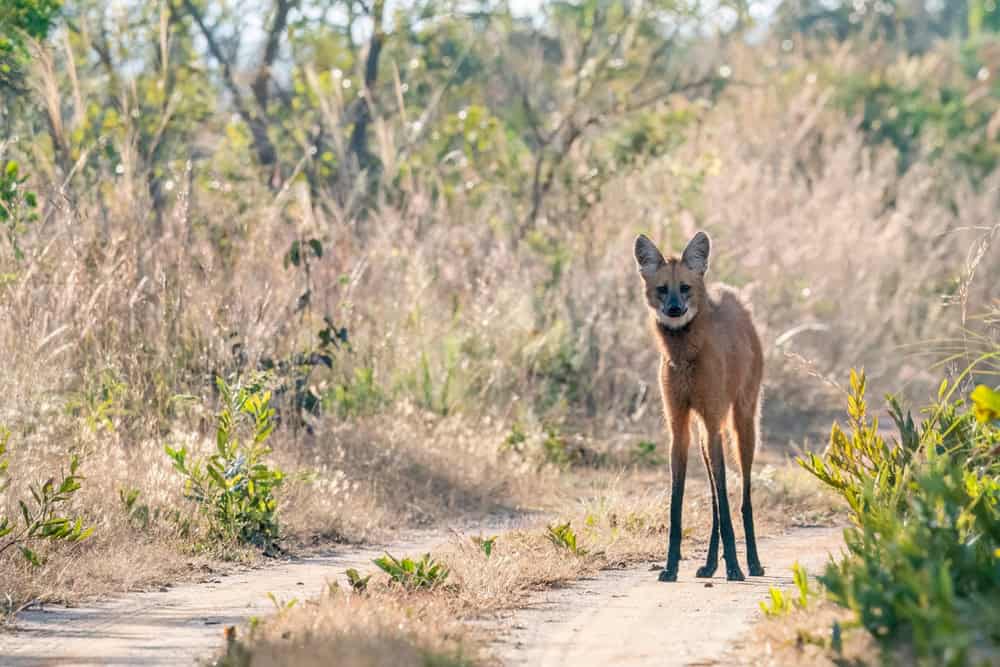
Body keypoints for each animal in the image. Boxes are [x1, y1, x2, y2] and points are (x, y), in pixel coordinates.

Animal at [634, 231, 764, 582]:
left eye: (685, 288)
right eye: (662, 289)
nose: (674, 309)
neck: (684, 355)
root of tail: (734, 296)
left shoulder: (712, 419)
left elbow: (726, 499)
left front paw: (734, 568)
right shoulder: (679, 426)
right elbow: (677, 504)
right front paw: (670, 567)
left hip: (741, 423)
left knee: (743, 495)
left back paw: (752, 562)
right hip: (706, 435)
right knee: (715, 498)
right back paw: (709, 564)